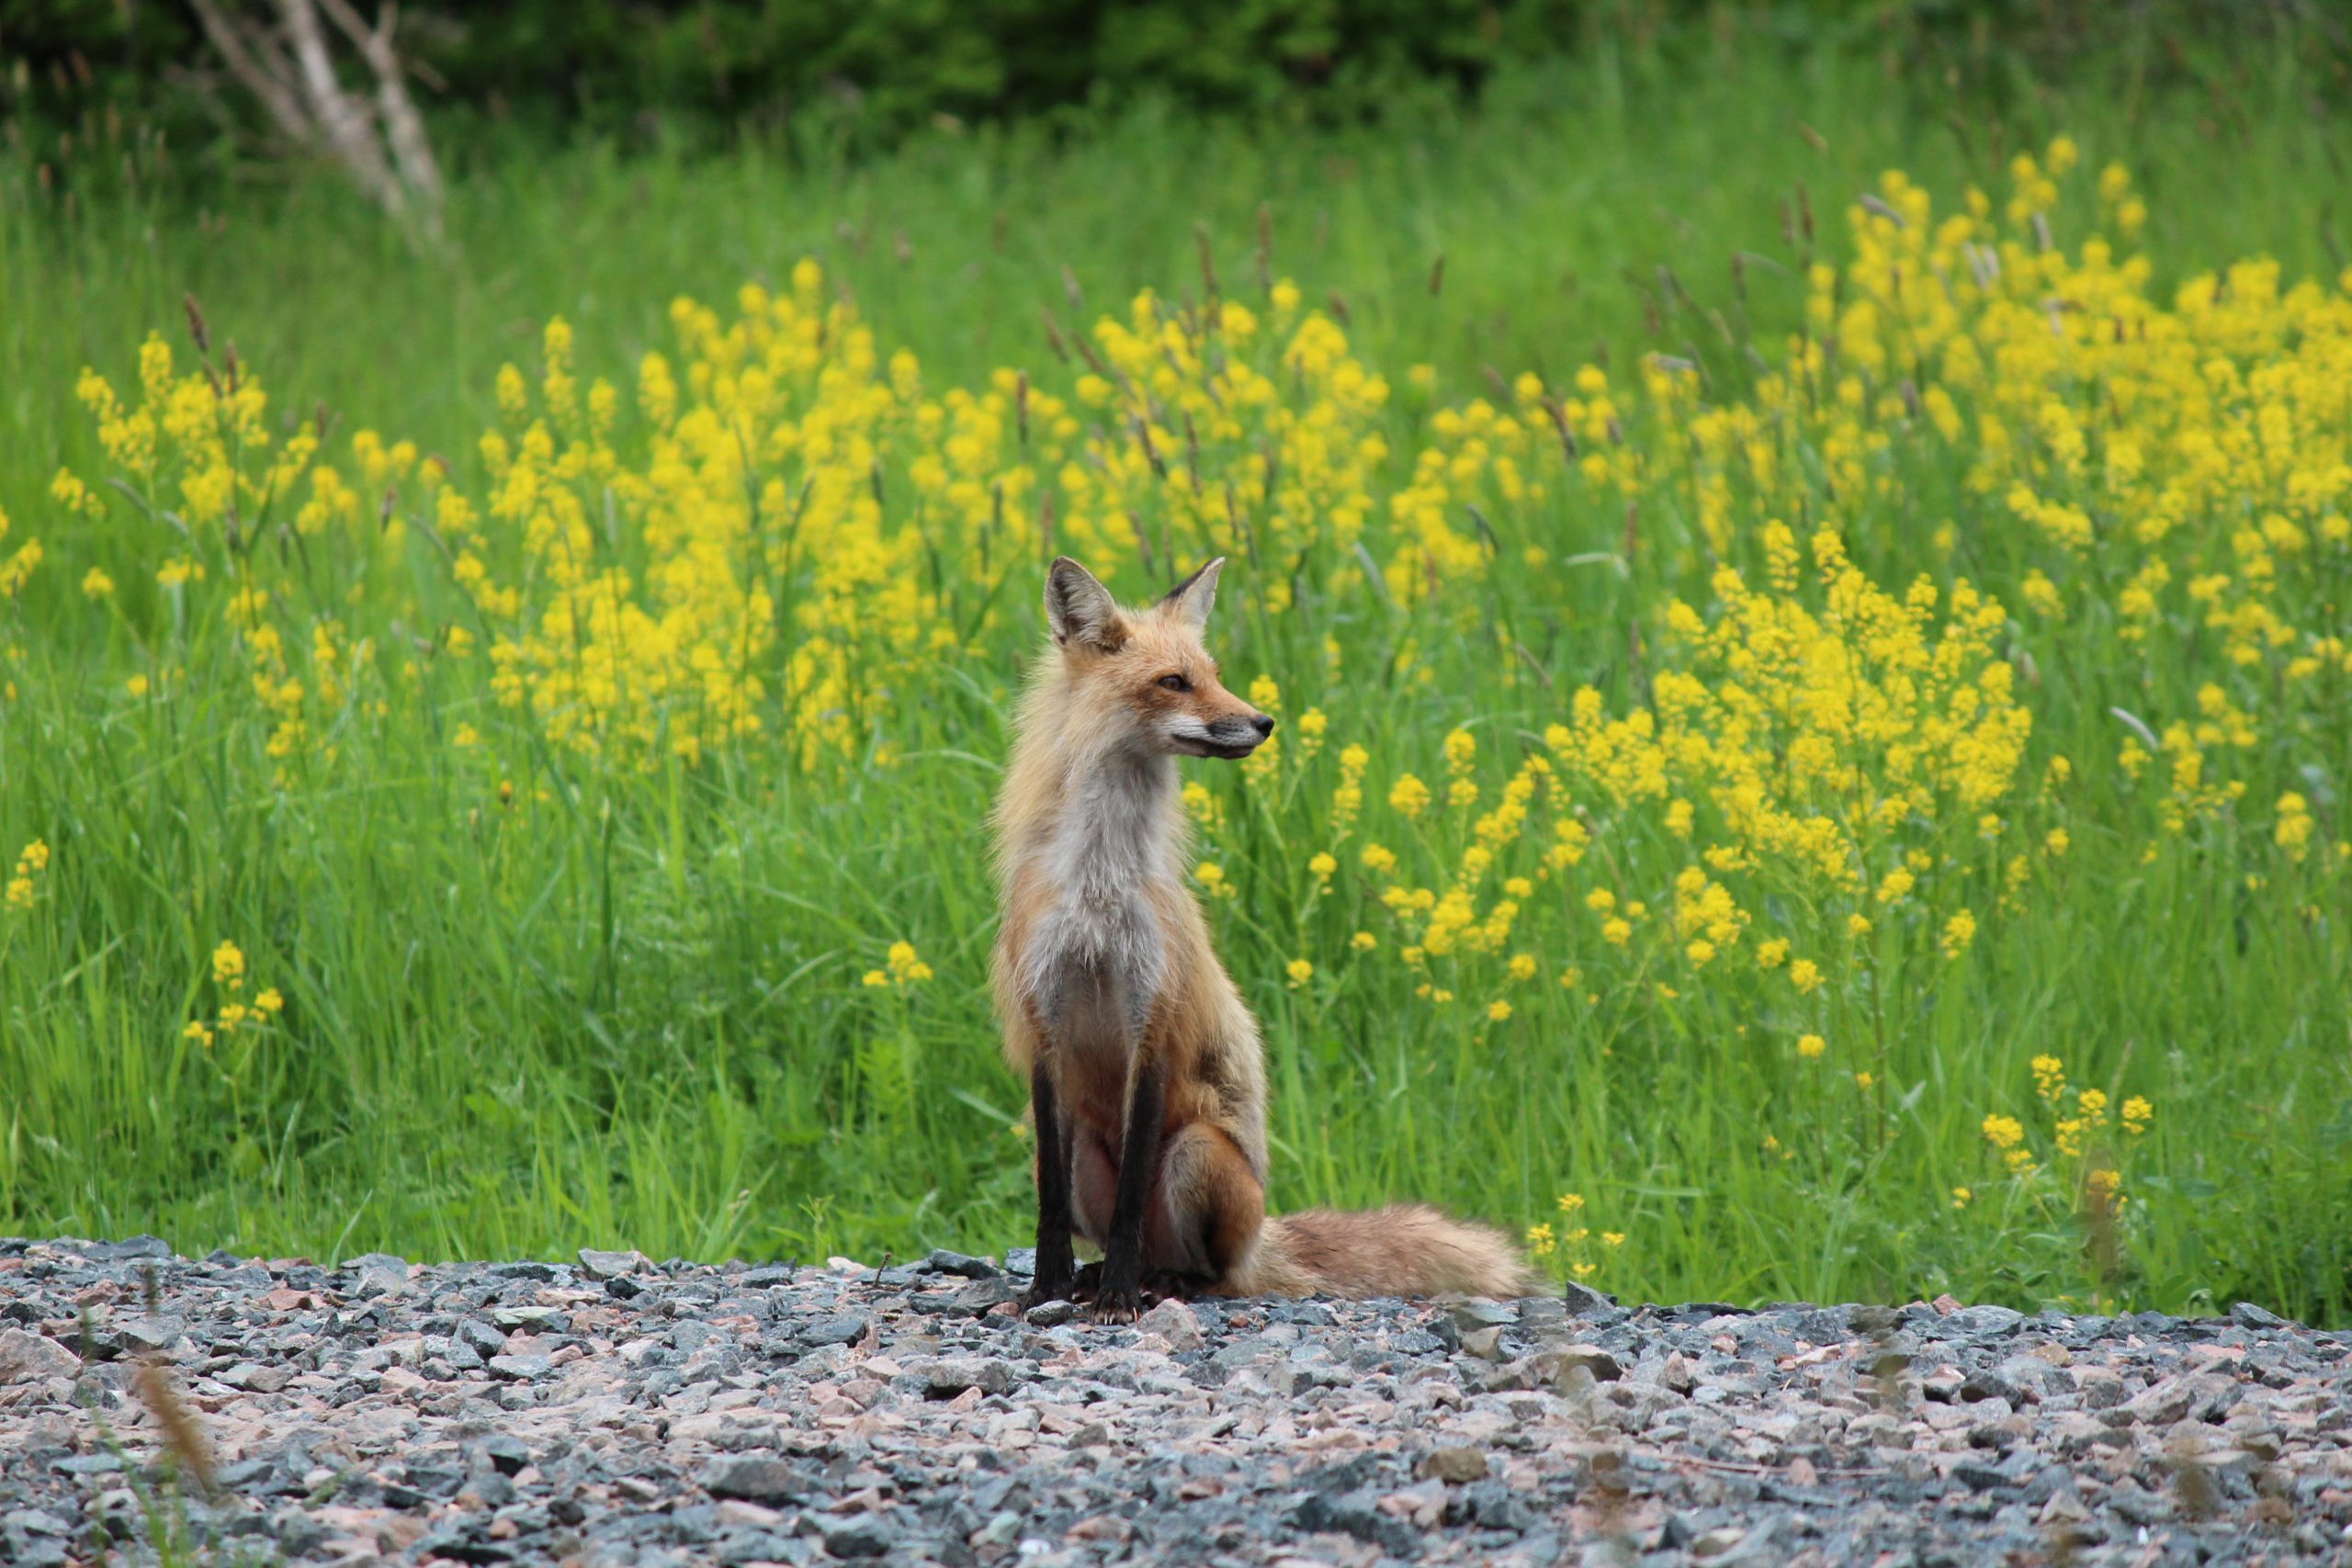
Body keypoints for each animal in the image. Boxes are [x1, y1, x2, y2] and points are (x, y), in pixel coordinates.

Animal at [983, 557, 1533, 1316]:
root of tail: (1261, 1236)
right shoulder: (1044, 1016)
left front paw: (1118, 1294)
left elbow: (1130, 1198)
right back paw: (1100, 1276)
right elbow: (1050, 1208)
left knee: (1209, 1269)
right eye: (1174, 681)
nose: (1263, 722)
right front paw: (1049, 1286)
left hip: (1198, 1154)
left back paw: (1162, 1281)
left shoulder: (1154, 1018)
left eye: (1215, 672)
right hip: (1069, 1146)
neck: (1101, 881)